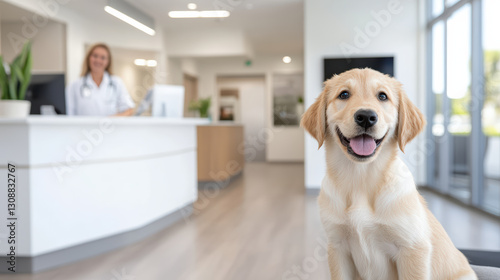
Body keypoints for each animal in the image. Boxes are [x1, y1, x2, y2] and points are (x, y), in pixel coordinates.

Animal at [300, 68, 476, 280]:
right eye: (344, 94)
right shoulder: (337, 247)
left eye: (382, 96)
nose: (366, 116)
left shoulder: (412, 248)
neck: (361, 179)